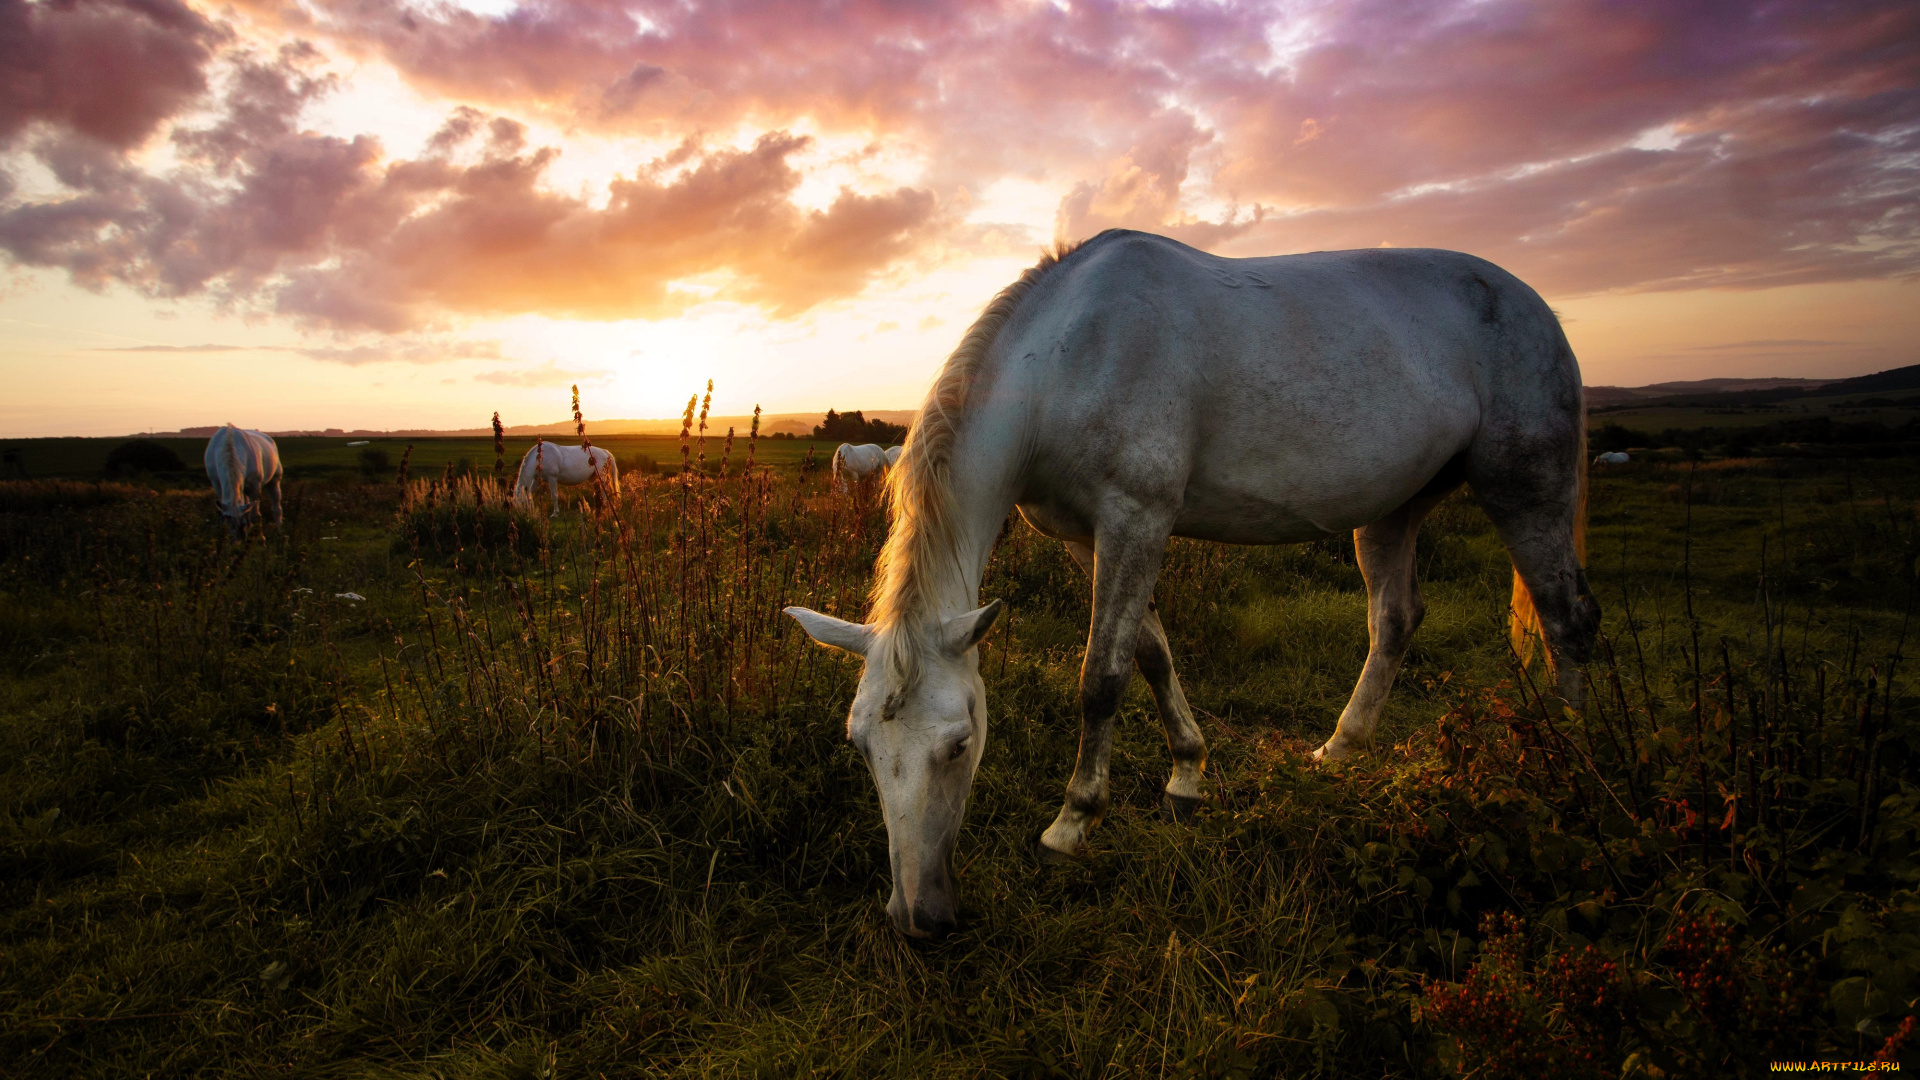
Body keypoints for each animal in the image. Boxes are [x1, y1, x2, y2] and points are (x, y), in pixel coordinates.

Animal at [787, 231, 1597, 937]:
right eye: (860, 745)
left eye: (959, 744)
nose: (916, 917)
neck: (1070, 358)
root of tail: (1535, 306)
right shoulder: (1089, 536)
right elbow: (1151, 653)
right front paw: (1186, 776)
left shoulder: (1136, 518)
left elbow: (1103, 676)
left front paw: (1072, 824)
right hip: (1394, 510)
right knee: (1395, 620)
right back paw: (1340, 750)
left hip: (1526, 491)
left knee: (1568, 621)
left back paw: (1575, 785)